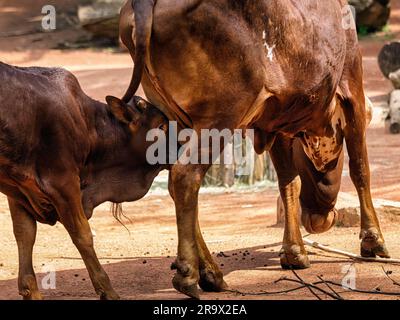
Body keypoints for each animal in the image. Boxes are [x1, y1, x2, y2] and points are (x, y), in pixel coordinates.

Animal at [0, 61, 167, 298]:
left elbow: (25, 234)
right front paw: (108, 291)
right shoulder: (63, 182)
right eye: (161, 126)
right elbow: (83, 235)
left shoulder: (19, 190)